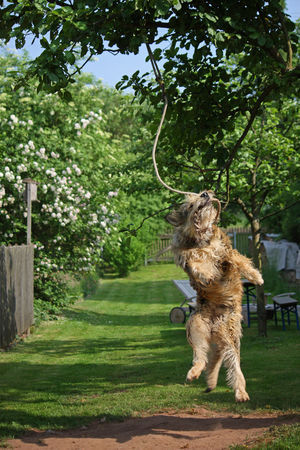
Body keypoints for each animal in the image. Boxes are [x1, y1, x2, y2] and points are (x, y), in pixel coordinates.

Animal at [166, 192, 262, 402]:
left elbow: (236, 260)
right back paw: (195, 372)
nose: (205, 193)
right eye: (191, 204)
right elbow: (194, 261)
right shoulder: (188, 256)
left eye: (199, 195)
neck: (202, 239)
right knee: (202, 358)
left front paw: (255, 276)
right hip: (196, 329)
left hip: (230, 339)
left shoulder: (226, 252)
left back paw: (240, 392)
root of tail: (214, 329)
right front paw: (204, 273)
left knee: (233, 367)